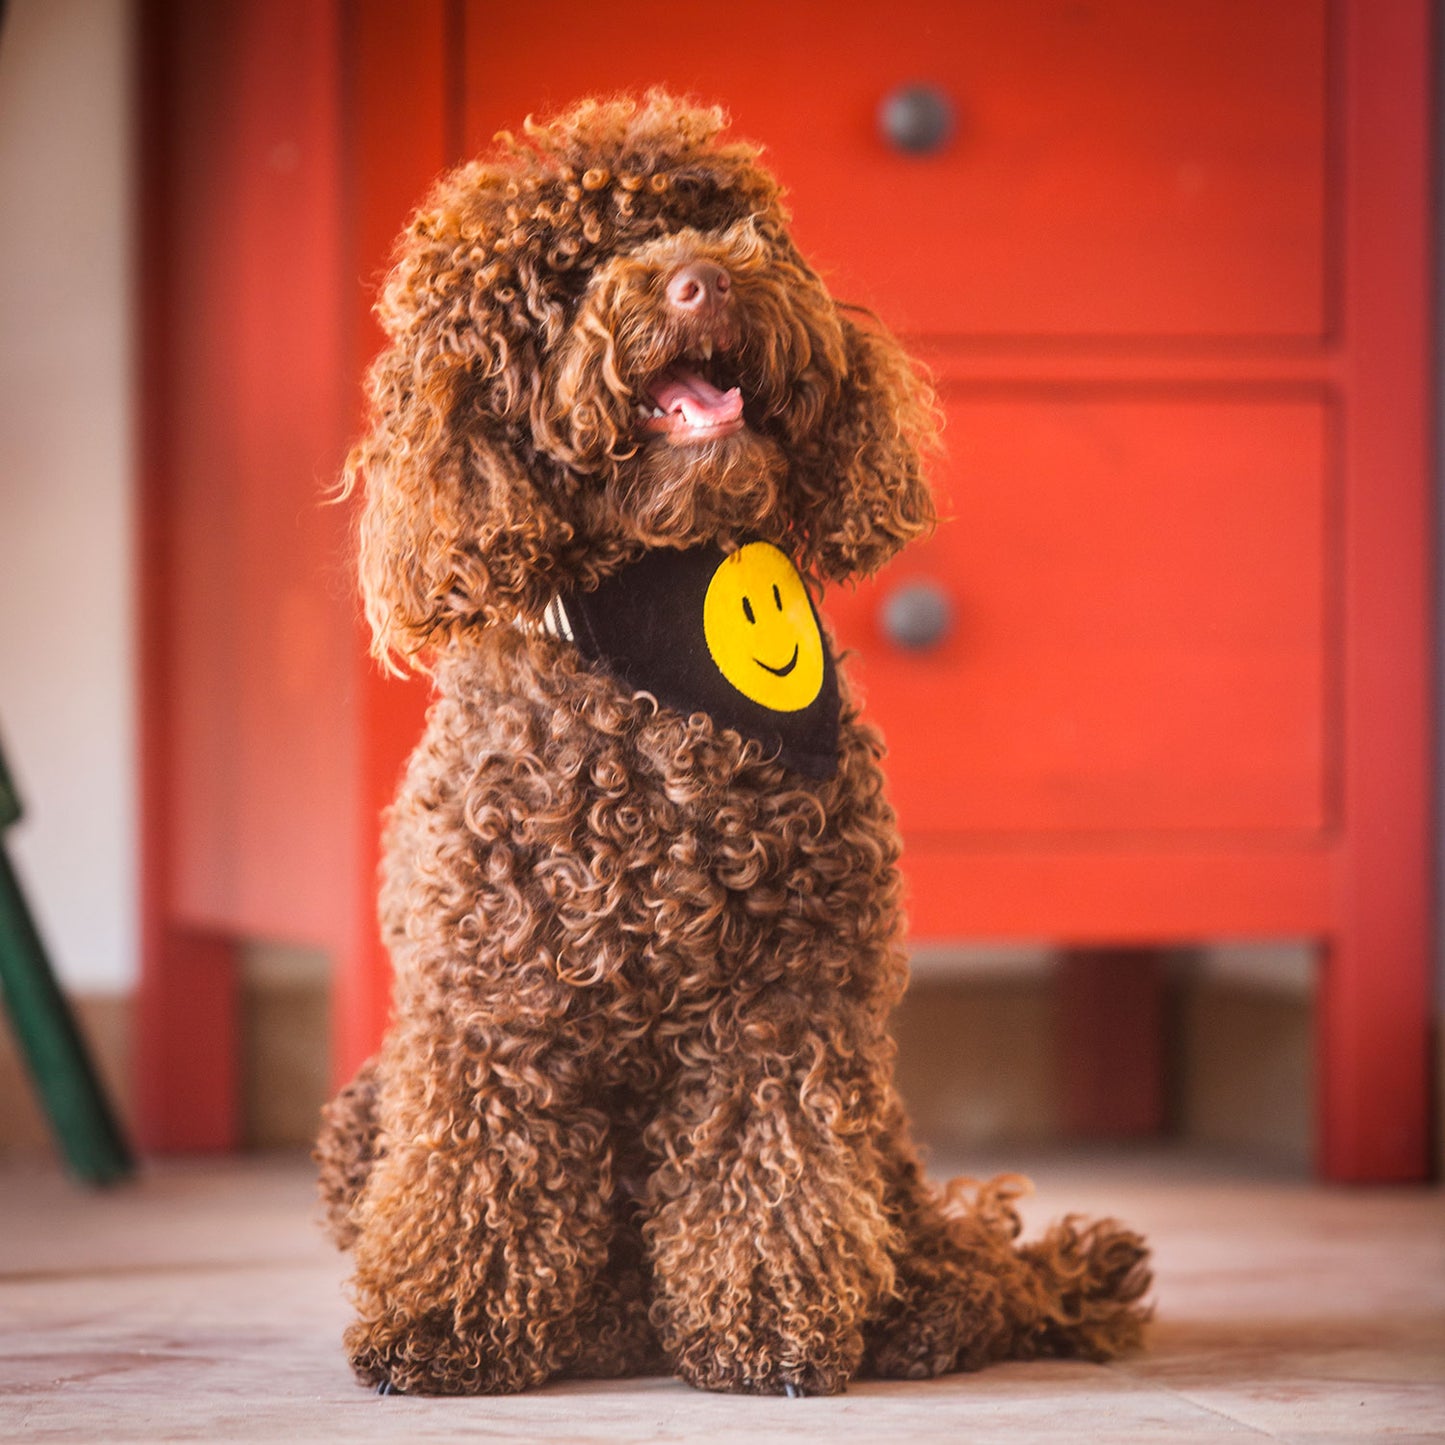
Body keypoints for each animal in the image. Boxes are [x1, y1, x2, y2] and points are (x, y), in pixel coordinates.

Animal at [319, 90, 1150, 1398]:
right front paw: (443, 1322)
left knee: (948, 1247)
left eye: (718, 220)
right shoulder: (488, 1003)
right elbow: (478, 1172)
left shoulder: (785, 1000)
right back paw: (606, 1322)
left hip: (878, 1121)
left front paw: (770, 1322)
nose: (699, 279)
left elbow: (769, 1167)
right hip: (366, 1105)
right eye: (568, 272)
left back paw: (922, 1307)